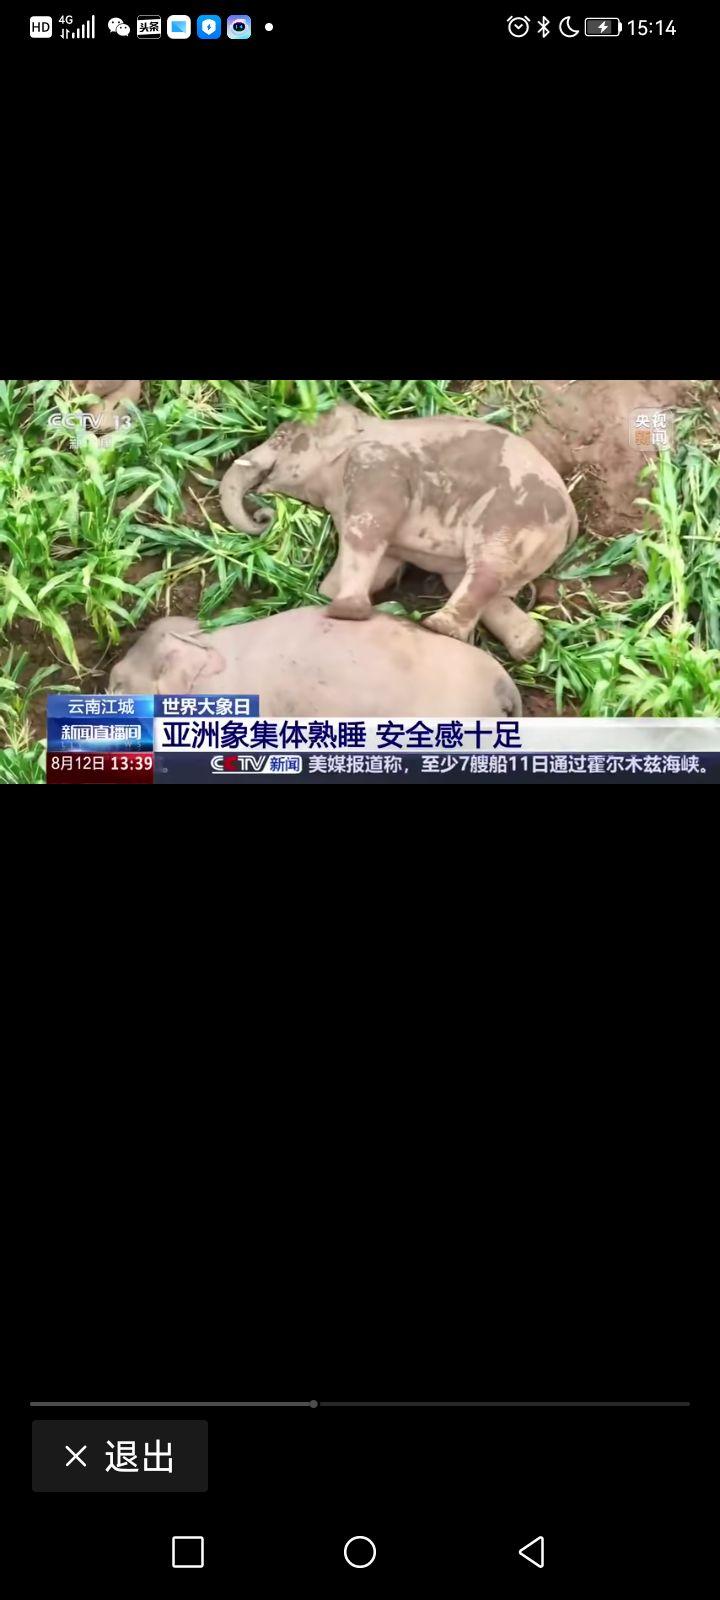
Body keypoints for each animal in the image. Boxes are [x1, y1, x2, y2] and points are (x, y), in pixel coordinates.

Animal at [219, 401, 578, 659]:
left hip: (514, 516)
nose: (263, 514)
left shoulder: (375, 468)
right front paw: (331, 599)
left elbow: (370, 529)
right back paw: (528, 646)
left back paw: (436, 627)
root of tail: (572, 519)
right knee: (472, 582)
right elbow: (382, 563)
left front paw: (344, 611)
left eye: (280, 438)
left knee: (486, 570)